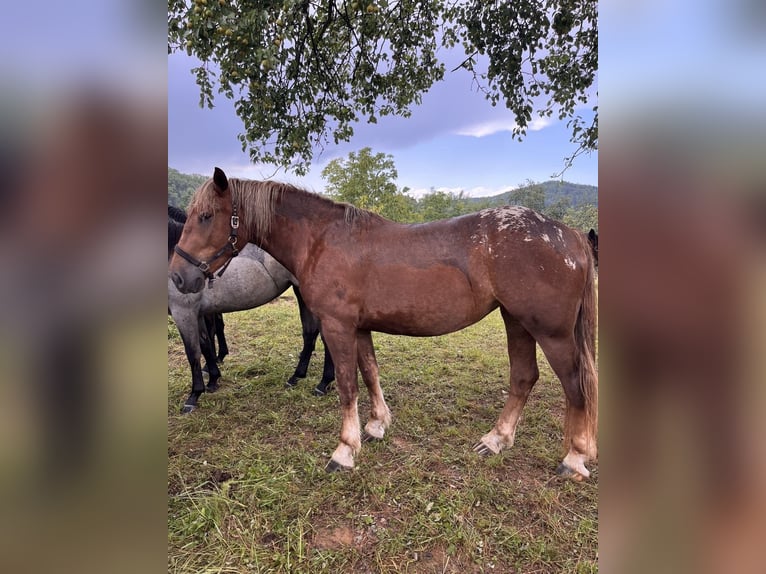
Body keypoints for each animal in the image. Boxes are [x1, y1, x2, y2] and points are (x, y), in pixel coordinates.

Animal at [167, 208, 335, 414]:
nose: (179, 277)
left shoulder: (183, 312)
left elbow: (193, 353)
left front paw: (194, 396)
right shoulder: (197, 313)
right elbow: (206, 346)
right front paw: (213, 379)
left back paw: (323, 383)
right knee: (310, 334)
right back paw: (297, 376)